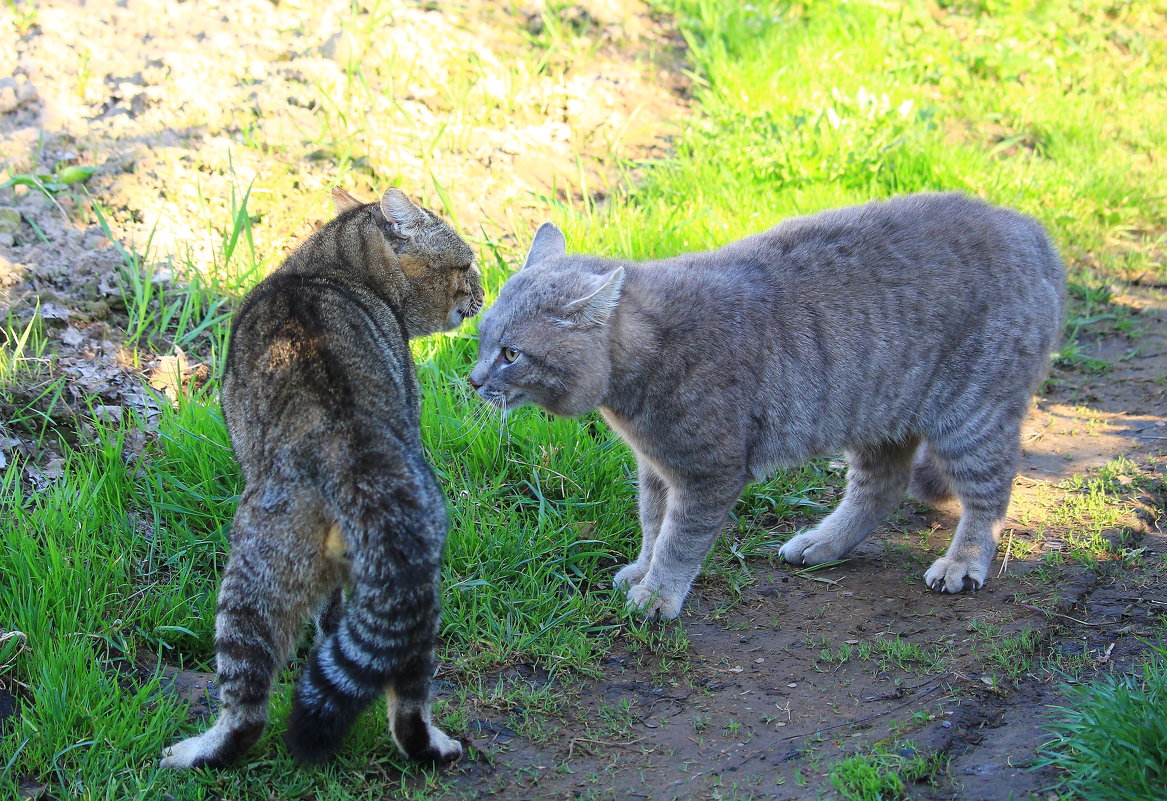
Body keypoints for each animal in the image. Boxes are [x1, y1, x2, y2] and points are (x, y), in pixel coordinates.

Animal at [162, 187, 480, 770]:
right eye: (465, 265)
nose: (483, 288)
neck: (326, 266)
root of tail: (348, 448)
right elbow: (335, 620)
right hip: (410, 583)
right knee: (407, 694)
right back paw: (430, 746)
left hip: (253, 571)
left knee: (245, 706)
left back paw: (195, 753)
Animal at [469, 192, 1064, 621]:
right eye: (479, 339)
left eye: (511, 354)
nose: (473, 381)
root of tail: (1031, 229)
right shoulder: (657, 468)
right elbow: (652, 524)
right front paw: (642, 570)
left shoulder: (707, 472)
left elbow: (679, 540)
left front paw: (658, 593)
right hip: (876, 412)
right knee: (882, 486)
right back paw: (825, 540)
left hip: (970, 415)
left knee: (989, 494)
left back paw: (963, 560)